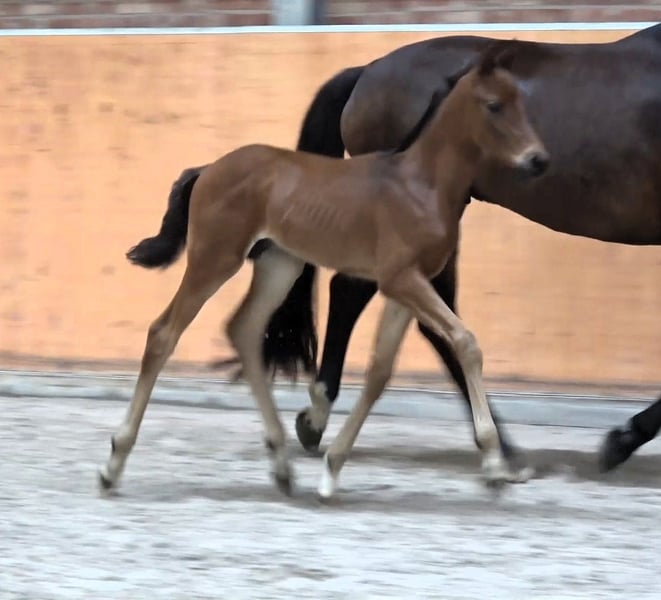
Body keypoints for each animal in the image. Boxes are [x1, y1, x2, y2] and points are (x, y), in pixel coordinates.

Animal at [98, 42, 549, 498]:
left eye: (521, 101)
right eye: (494, 105)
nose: (539, 161)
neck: (420, 185)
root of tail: (207, 170)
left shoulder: (406, 288)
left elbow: (380, 372)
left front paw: (332, 468)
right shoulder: (401, 279)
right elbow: (466, 343)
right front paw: (495, 463)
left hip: (279, 264)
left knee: (243, 330)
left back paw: (282, 465)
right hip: (215, 258)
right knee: (164, 333)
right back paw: (113, 464)